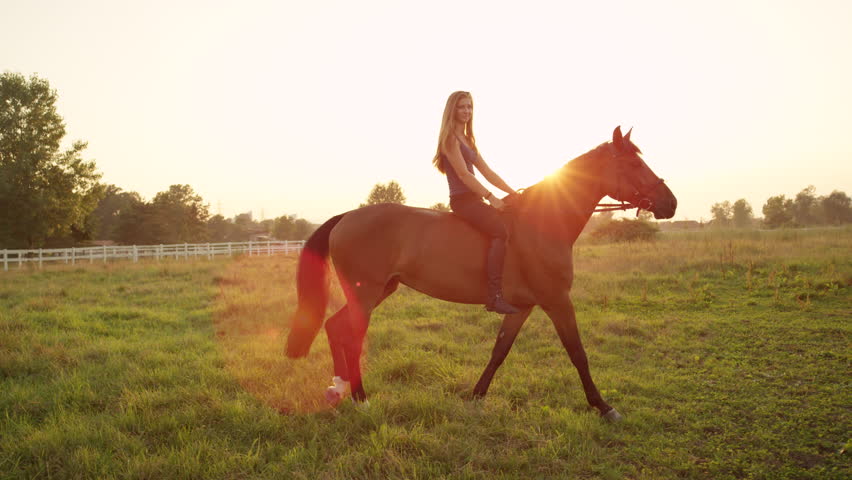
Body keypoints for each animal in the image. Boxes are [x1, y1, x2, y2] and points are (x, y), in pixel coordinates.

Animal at [286, 124, 680, 420]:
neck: (543, 222)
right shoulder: (557, 301)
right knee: (351, 336)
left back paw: (339, 389)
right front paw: (604, 406)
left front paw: (475, 397)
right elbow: (577, 353)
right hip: (366, 293)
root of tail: (346, 217)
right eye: (633, 165)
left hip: (379, 290)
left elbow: (499, 351)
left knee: (335, 327)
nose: (671, 204)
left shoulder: (522, 307)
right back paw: (360, 398)